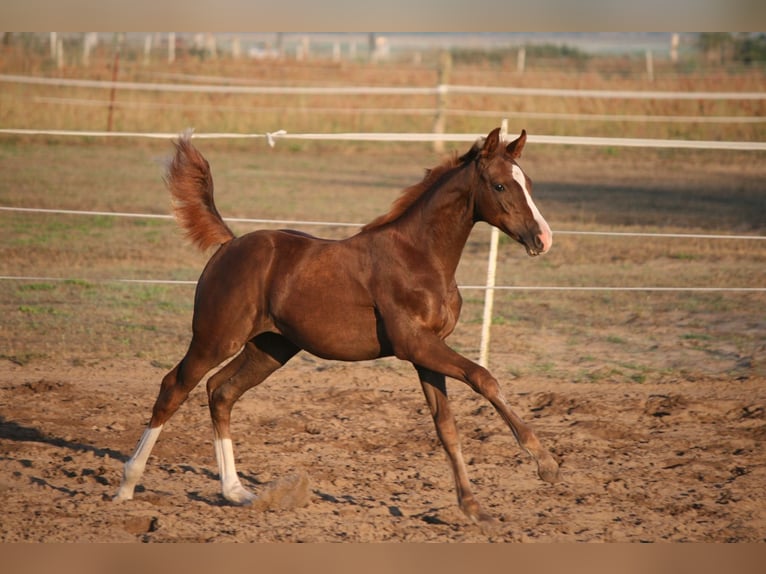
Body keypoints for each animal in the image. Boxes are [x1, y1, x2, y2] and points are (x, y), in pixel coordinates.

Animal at [114, 126, 559, 527]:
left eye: (529, 183)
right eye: (500, 185)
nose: (543, 238)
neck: (420, 256)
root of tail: (229, 243)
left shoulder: (428, 352)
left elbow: (446, 428)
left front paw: (474, 509)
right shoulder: (414, 344)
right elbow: (484, 378)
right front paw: (544, 462)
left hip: (270, 349)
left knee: (220, 392)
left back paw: (236, 491)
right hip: (215, 337)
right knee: (174, 387)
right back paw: (127, 486)